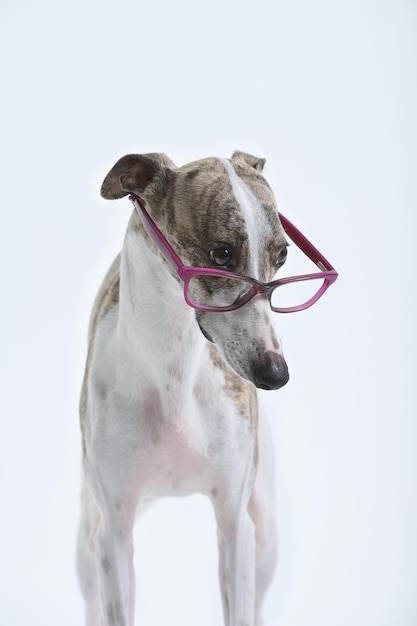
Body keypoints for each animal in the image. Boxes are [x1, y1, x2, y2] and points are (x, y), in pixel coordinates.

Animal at [77, 151, 334, 624]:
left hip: (264, 534)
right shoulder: (115, 530)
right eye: (221, 253)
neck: (173, 369)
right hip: (88, 542)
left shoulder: (235, 523)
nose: (276, 375)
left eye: (283, 255)